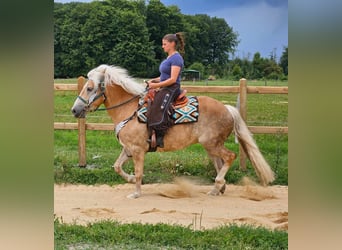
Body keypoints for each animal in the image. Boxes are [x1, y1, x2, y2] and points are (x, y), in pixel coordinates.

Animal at [71, 65, 276, 199]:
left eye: (89, 88)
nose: (74, 110)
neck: (129, 110)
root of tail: (227, 109)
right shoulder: (128, 149)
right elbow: (117, 167)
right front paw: (130, 180)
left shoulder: (138, 150)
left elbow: (139, 172)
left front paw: (136, 192)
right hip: (211, 146)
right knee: (220, 162)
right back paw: (217, 188)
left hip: (212, 144)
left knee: (230, 157)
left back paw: (218, 184)